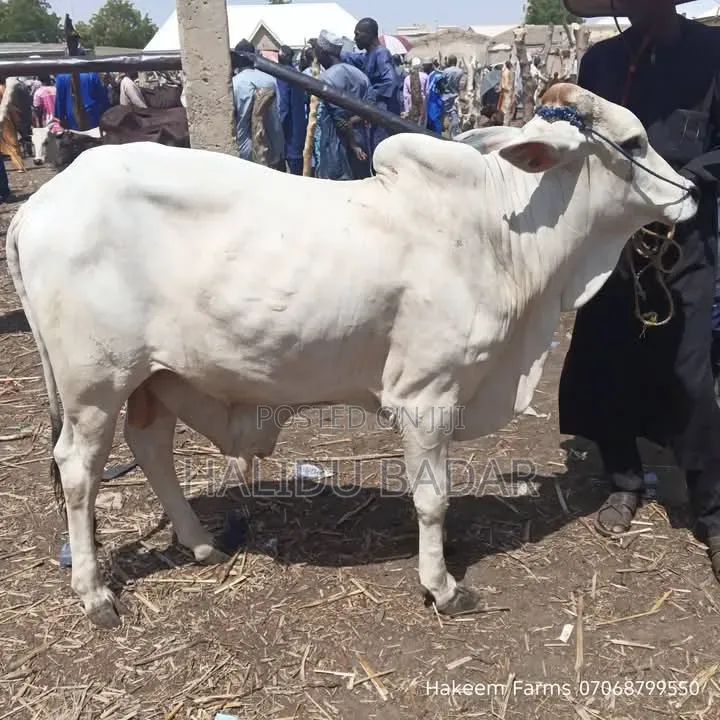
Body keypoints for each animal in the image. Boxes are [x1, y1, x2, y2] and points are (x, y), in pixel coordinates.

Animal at [6, 84, 698, 629]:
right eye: (634, 142)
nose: (691, 191)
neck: (499, 231)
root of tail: (41, 204)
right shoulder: (426, 396)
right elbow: (433, 498)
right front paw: (443, 587)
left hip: (155, 377)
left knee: (150, 448)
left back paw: (202, 545)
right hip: (95, 387)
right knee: (78, 471)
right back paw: (95, 595)